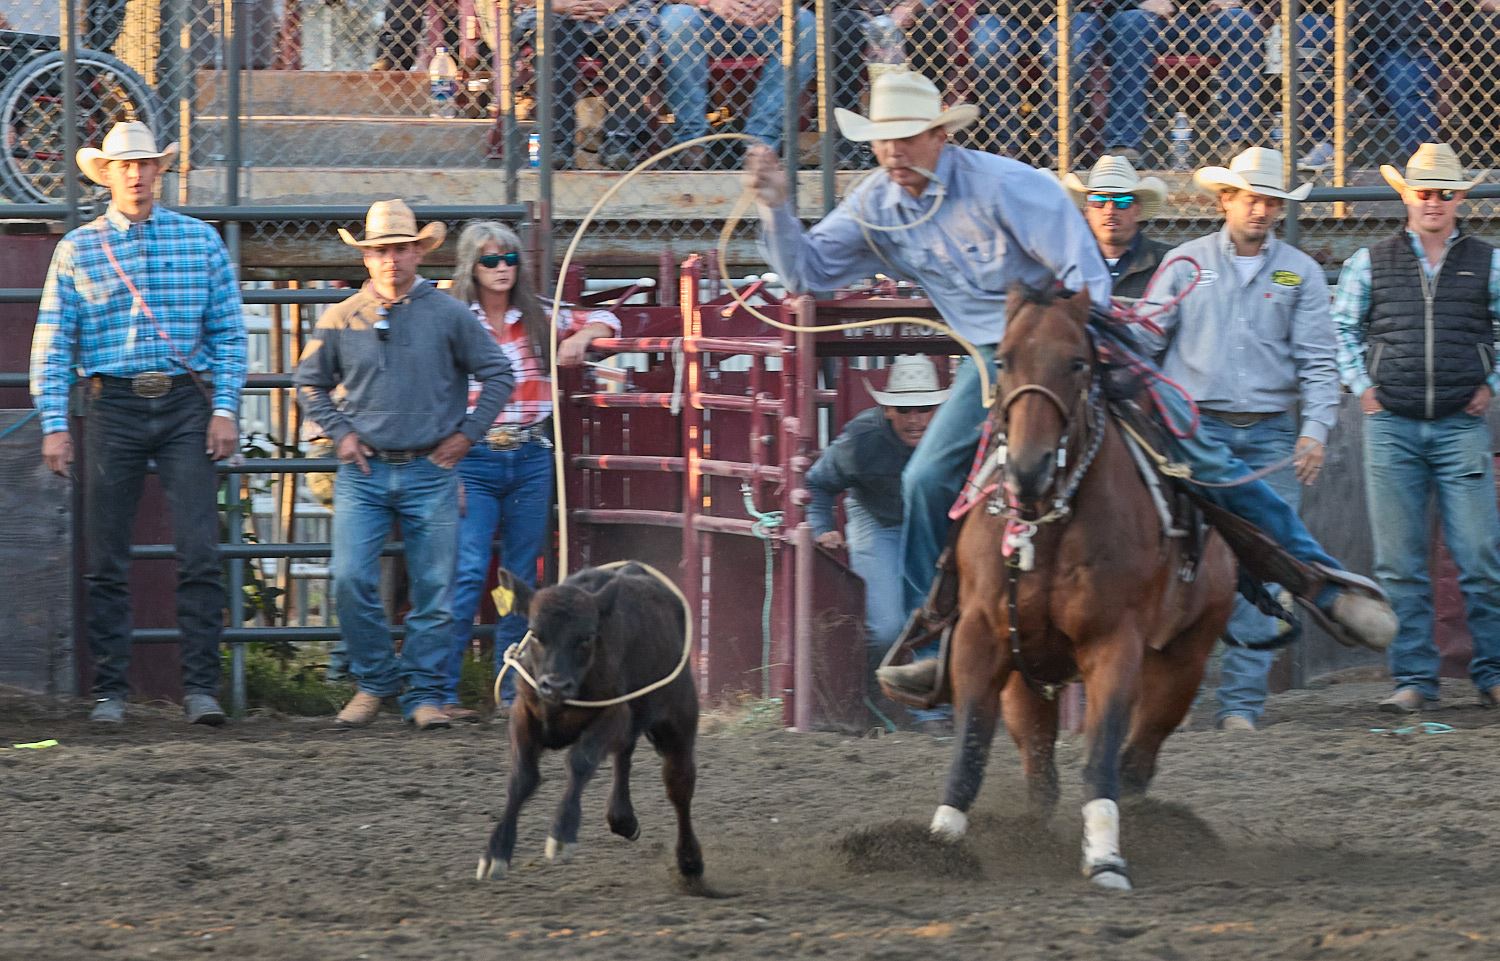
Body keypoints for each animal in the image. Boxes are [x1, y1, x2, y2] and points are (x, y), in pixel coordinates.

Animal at [930, 281, 1236, 887]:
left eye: (1077, 362)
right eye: (1003, 360)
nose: (1028, 468)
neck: (1046, 524)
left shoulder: (1114, 644)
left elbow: (1101, 757)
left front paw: (1105, 859)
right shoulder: (982, 635)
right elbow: (970, 747)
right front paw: (936, 842)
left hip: (1182, 664)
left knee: (1135, 761)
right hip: (1027, 681)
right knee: (1041, 770)